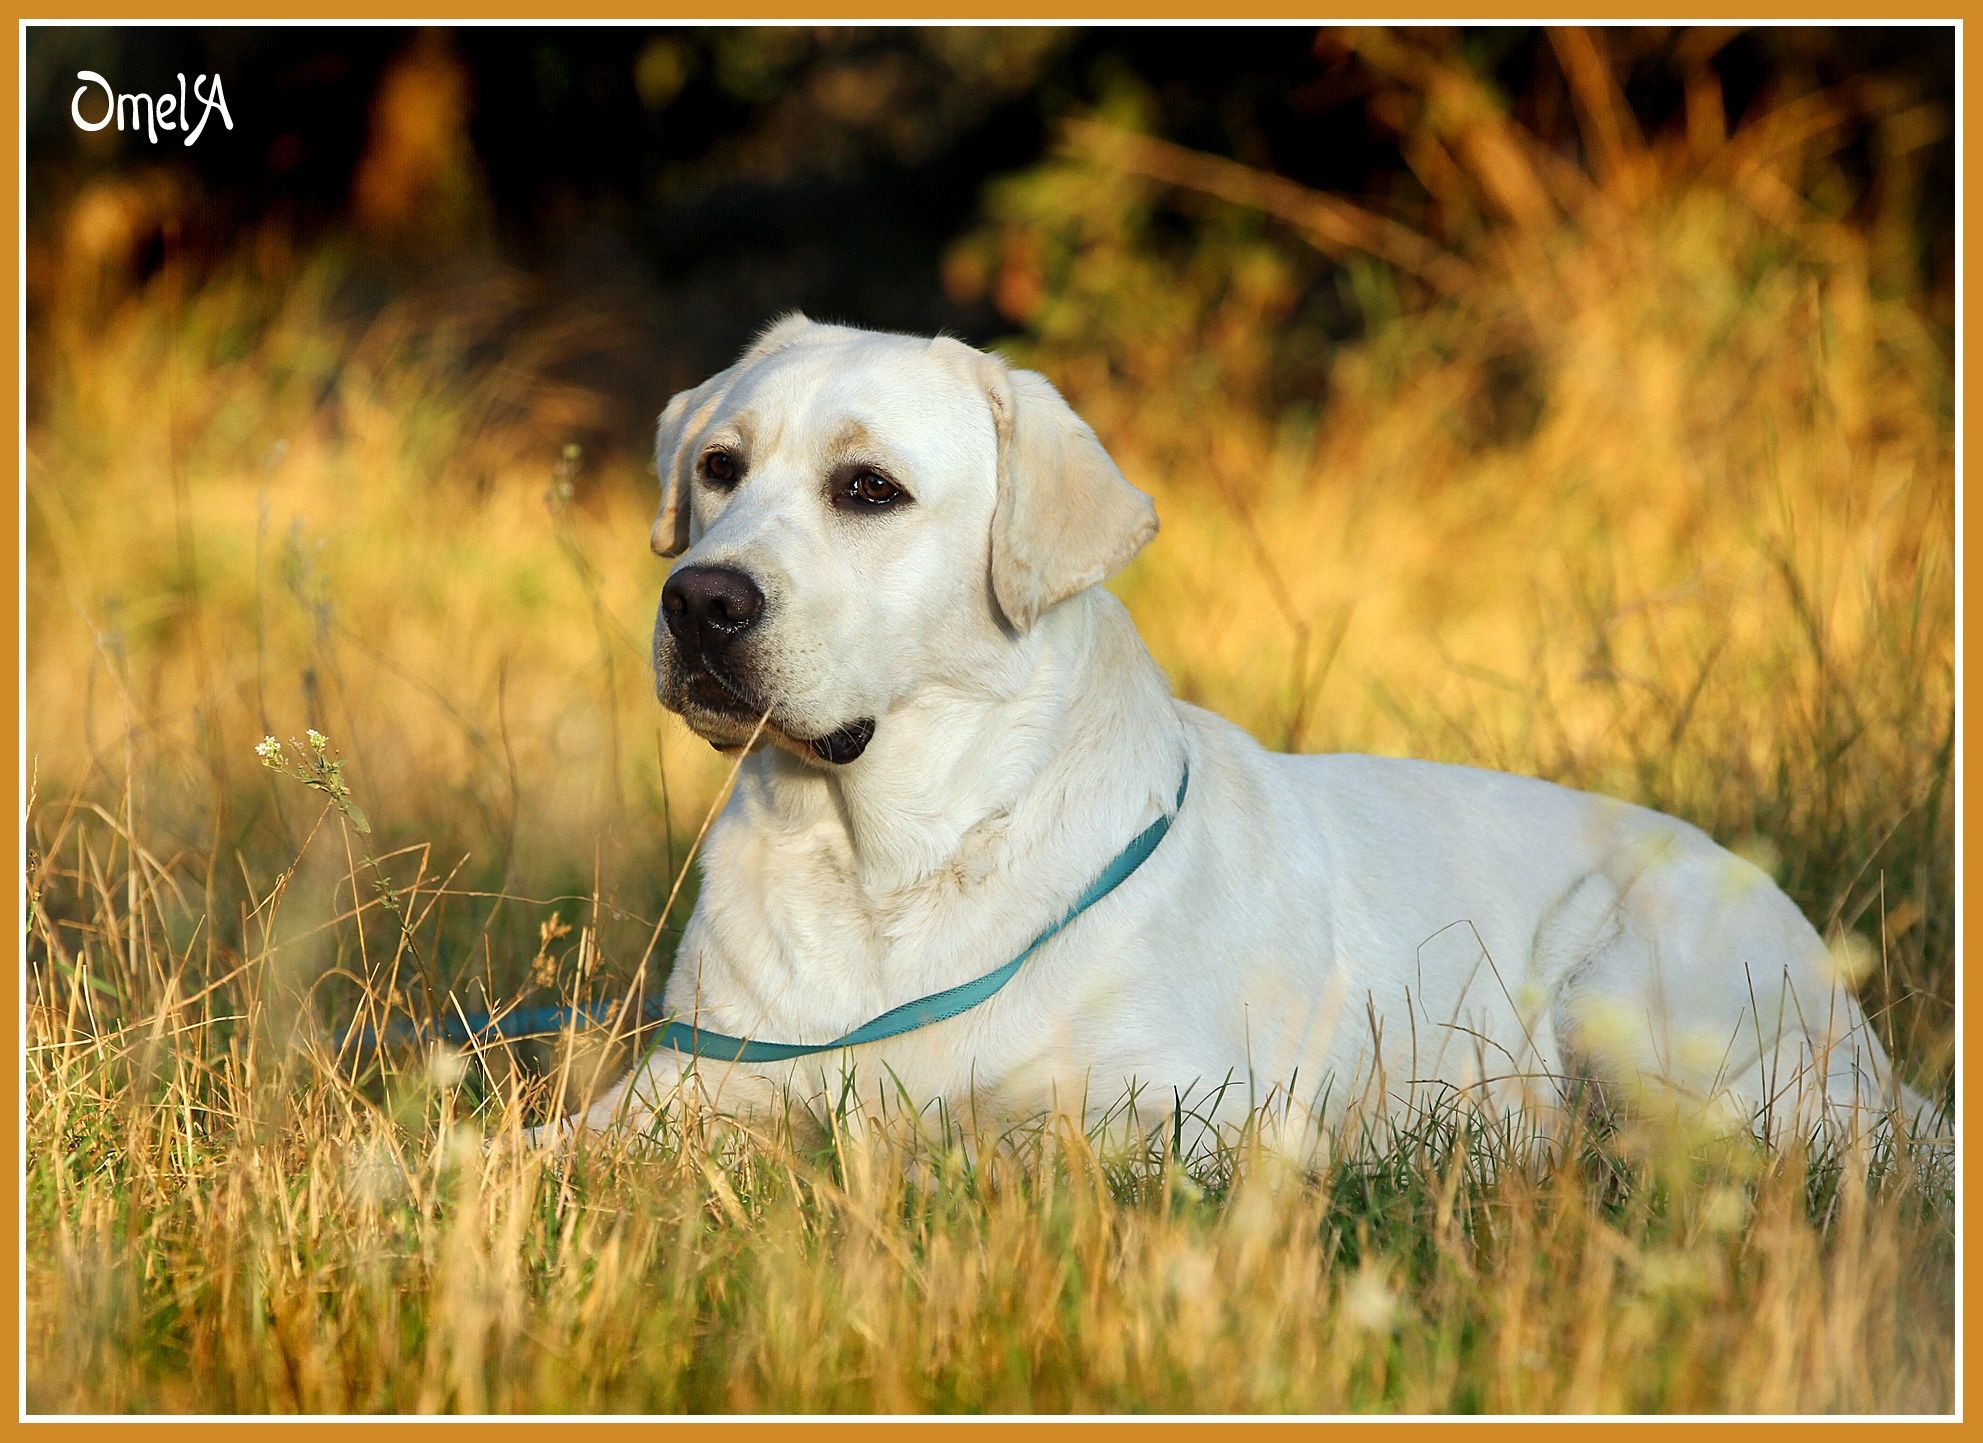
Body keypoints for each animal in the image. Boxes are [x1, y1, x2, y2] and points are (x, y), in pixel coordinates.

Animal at [567, 315, 1927, 1157]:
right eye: (719, 468)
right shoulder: (677, 1088)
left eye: (868, 489)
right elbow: (543, 1151)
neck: (884, 865)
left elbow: (991, 1141)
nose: (698, 601)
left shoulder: (1186, 1115)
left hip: (1638, 1010)